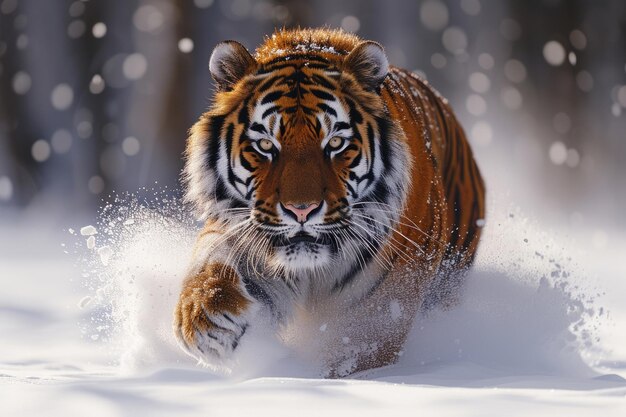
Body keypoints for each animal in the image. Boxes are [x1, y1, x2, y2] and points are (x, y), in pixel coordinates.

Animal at [173, 27, 486, 376]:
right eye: (266, 145)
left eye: (335, 142)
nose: (301, 210)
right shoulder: (242, 229)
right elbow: (213, 258)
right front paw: (205, 318)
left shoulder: (382, 304)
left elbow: (357, 348)